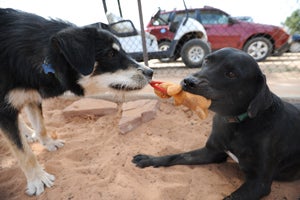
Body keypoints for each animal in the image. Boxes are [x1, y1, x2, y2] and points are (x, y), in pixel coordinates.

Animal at [0, 8, 154, 196]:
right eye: (111, 54)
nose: (151, 72)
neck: (45, 57)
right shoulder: (5, 109)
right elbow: (24, 152)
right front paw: (38, 179)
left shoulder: (32, 95)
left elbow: (41, 126)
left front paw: (49, 143)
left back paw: (29, 133)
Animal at [134, 47, 300, 199]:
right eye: (207, 60)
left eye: (231, 74)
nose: (188, 81)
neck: (235, 124)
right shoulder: (212, 152)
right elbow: (177, 156)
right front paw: (150, 159)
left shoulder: (259, 183)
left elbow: (231, 197)